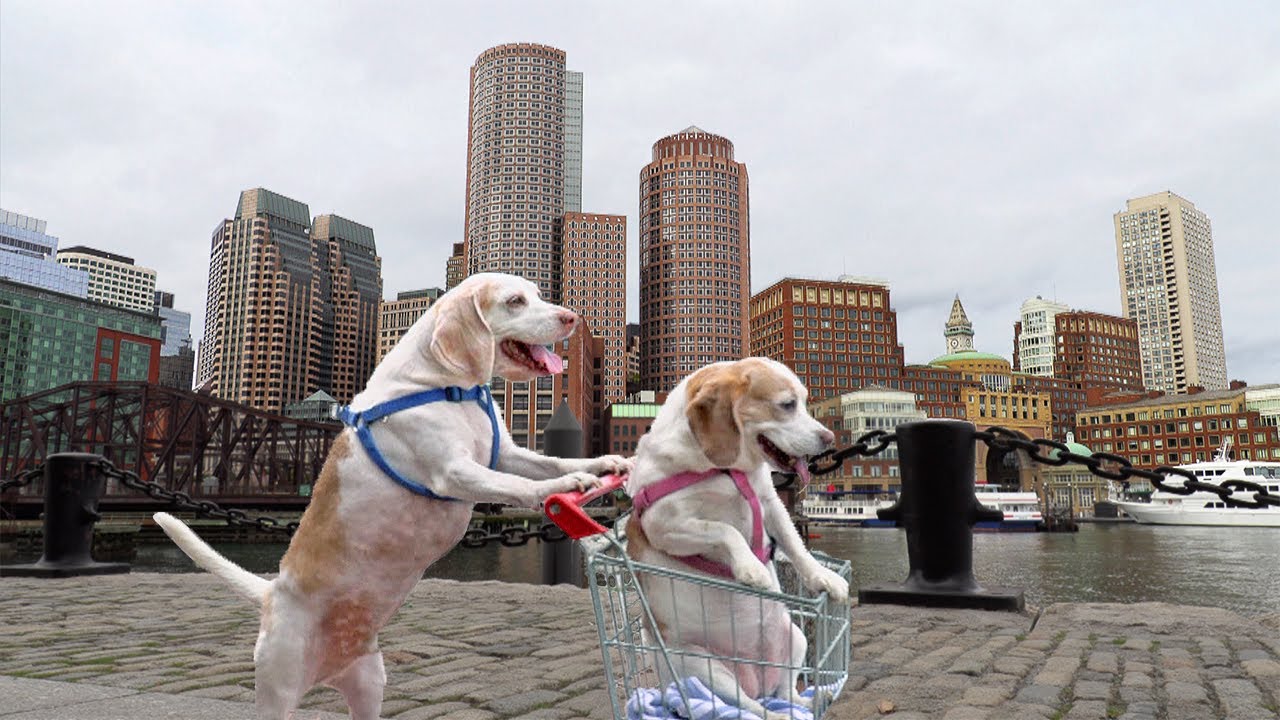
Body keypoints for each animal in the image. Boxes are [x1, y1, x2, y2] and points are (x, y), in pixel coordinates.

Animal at [152, 270, 632, 717]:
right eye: (515, 301)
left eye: (535, 293)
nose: (571, 317)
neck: (448, 384)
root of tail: (272, 592)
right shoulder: (453, 470)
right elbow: (522, 486)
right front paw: (565, 487)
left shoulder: (506, 454)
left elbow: (549, 462)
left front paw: (600, 465)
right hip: (279, 688)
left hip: (369, 682)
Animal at [622, 356, 849, 717]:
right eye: (787, 405)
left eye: (804, 401)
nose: (828, 437)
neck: (728, 471)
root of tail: (757, 680)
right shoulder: (664, 525)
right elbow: (724, 530)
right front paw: (751, 568)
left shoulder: (769, 503)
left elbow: (796, 546)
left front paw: (824, 578)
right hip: (705, 668)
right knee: (752, 708)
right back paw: (776, 713)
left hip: (795, 637)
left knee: (785, 691)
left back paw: (810, 701)